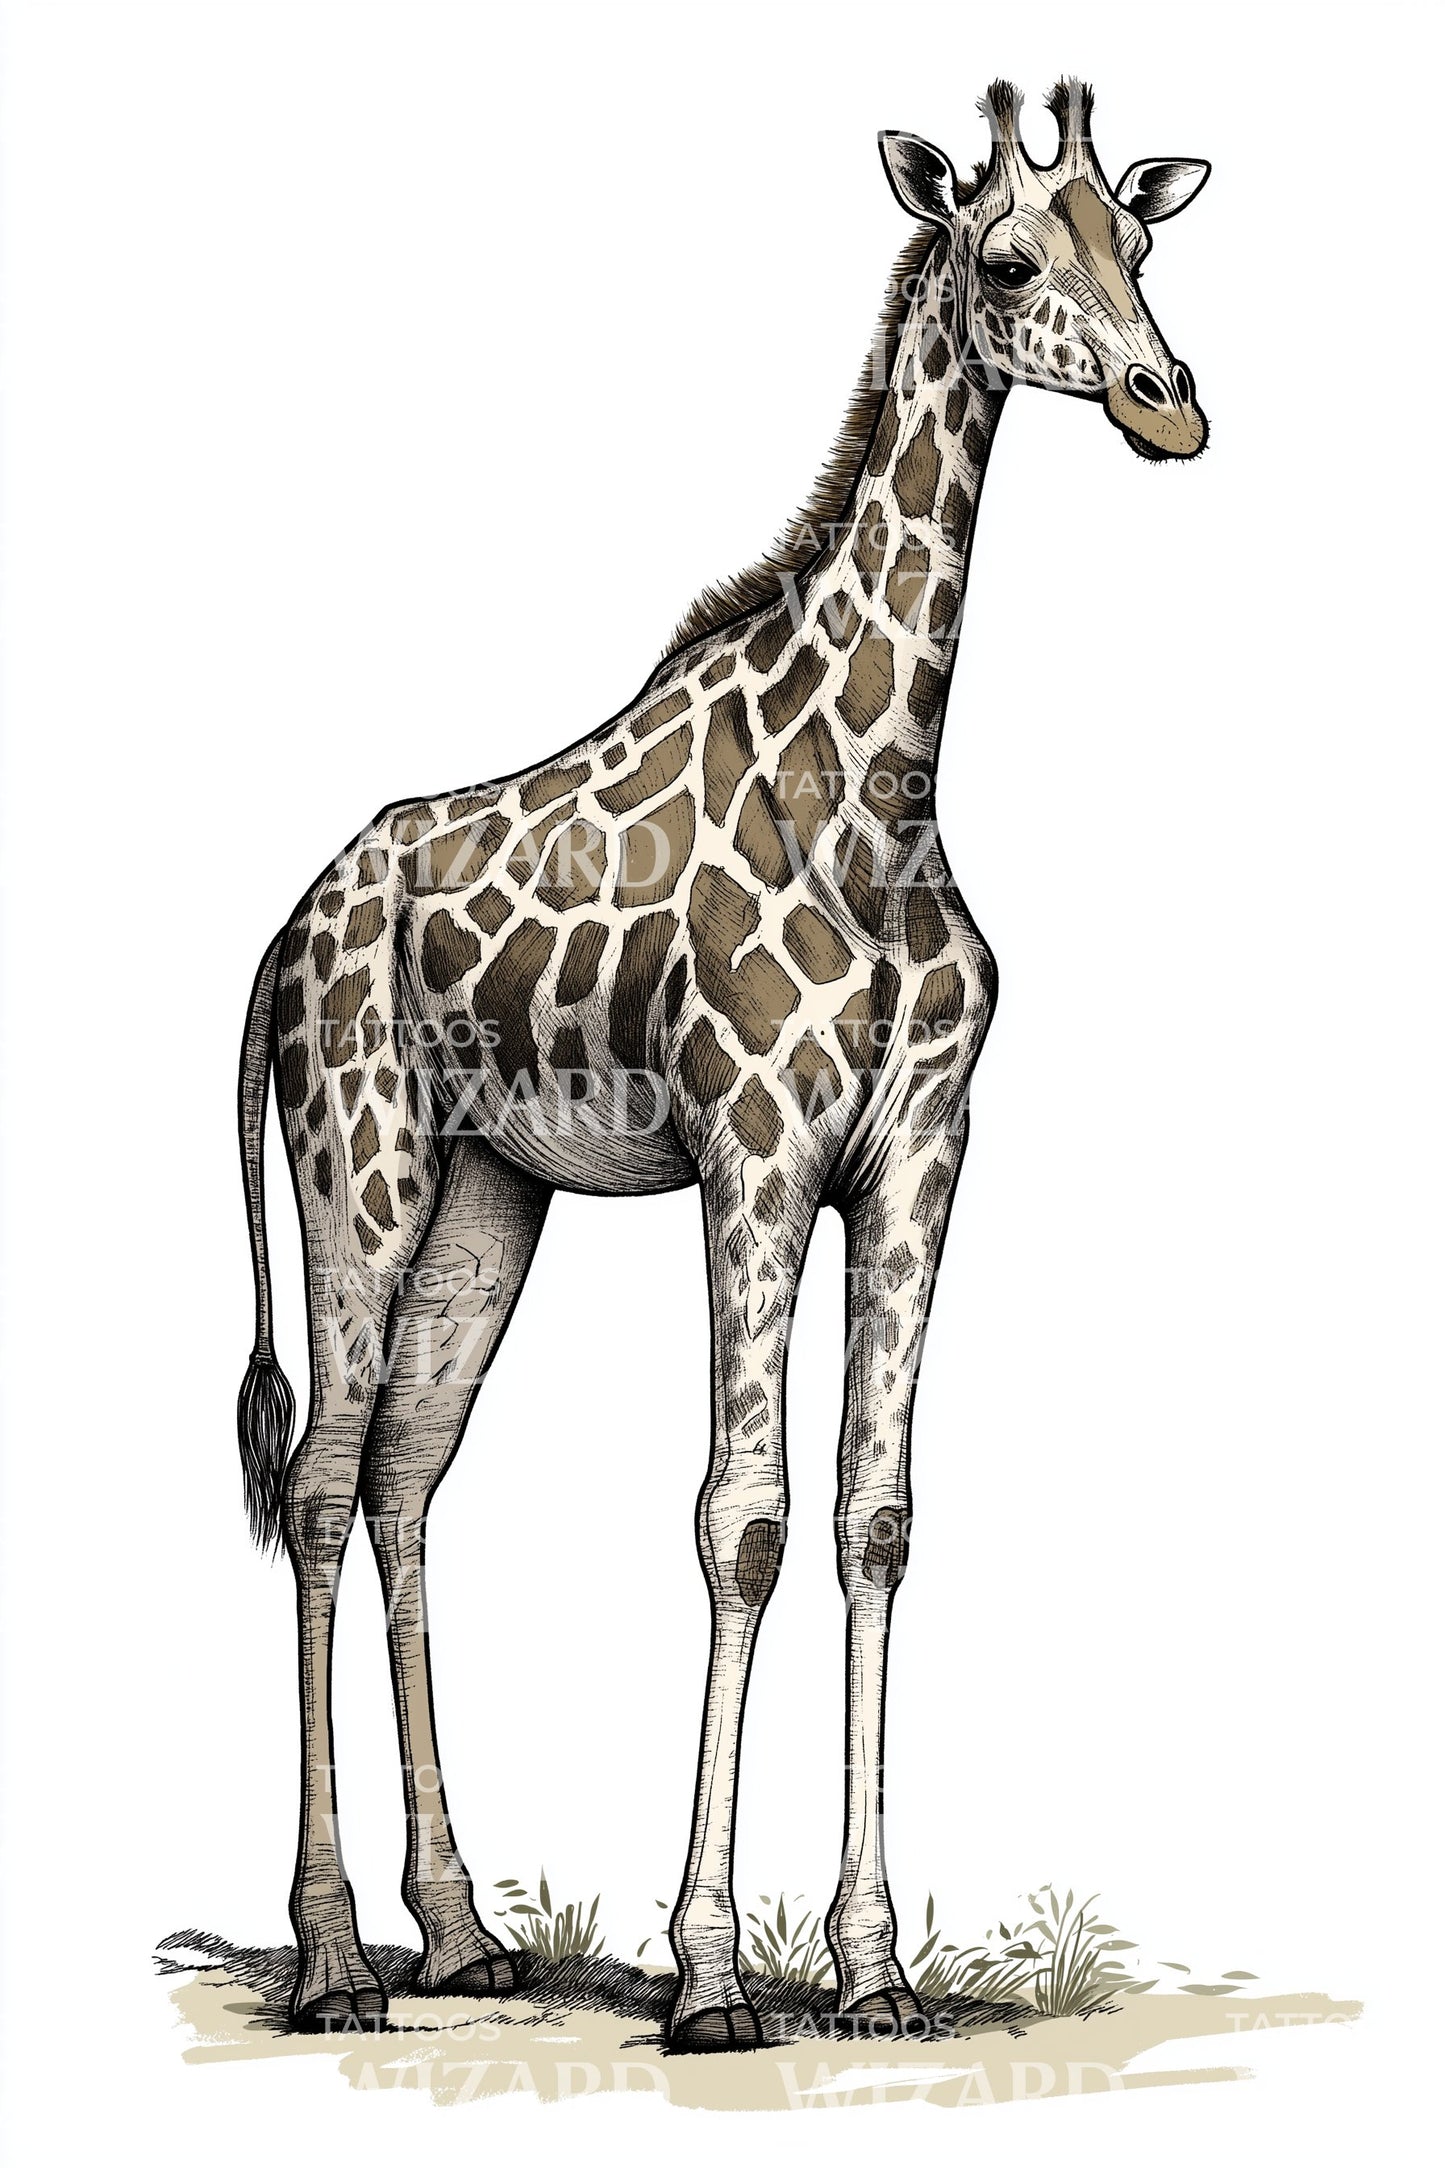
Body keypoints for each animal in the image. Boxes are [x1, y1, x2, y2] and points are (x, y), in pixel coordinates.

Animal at [234, 80, 1210, 2048]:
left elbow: (876, 1518)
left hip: (485, 1198)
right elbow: (740, 1518)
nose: (1171, 401)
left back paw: (458, 1931)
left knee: (399, 1481)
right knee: (311, 1481)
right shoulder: (755, 1145)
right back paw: (331, 1959)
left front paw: (875, 1967)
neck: (887, 789)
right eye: (1010, 257)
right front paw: (707, 1972)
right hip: (353, 1166)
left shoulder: (920, 1150)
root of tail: (283, 936)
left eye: (1140, 240)